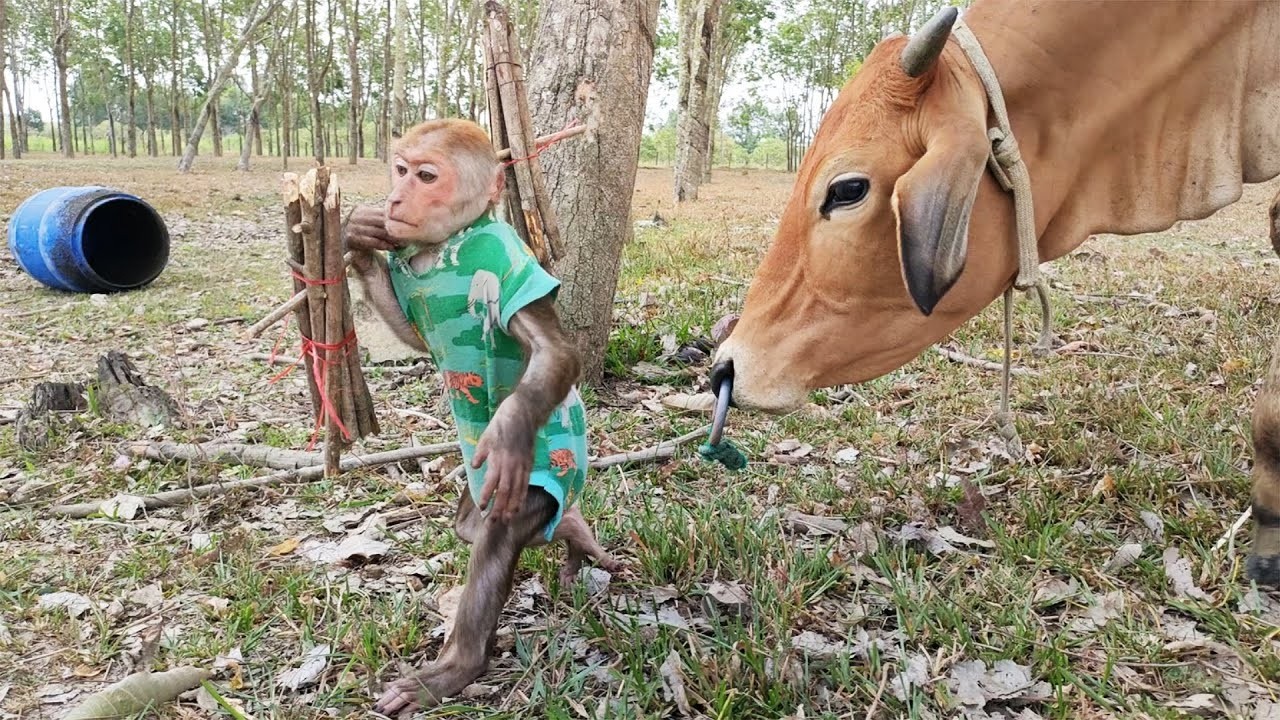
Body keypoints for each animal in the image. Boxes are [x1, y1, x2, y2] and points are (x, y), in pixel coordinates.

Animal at [343, 118, 623, 715]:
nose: (396, 198)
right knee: (474, 526)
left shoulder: (503, 260)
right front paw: (357, 237)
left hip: (553, 470)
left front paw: (511, 429)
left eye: (428, 176)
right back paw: (574, 532)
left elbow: (554, 352)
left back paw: (458, 667)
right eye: (400, 170)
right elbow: (411, 334)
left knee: (498, 532)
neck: (446, 246)